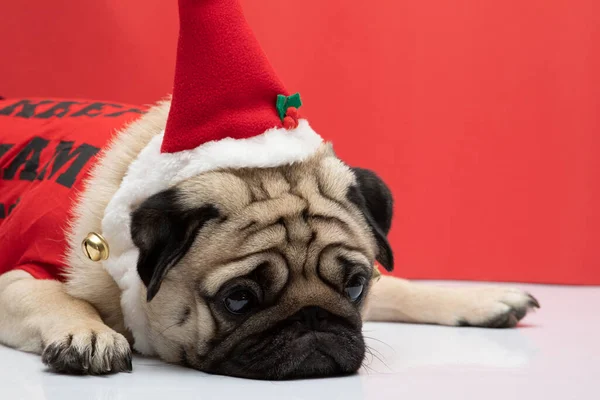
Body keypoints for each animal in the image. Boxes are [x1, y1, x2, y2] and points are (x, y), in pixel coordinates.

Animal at [0, 0, 540, 382]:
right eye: (238, 300)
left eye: (355, 285)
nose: (312, 320)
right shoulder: (19, 276)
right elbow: (55, 297)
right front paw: (88, 331)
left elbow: (403, 286)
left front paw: (477, 298)